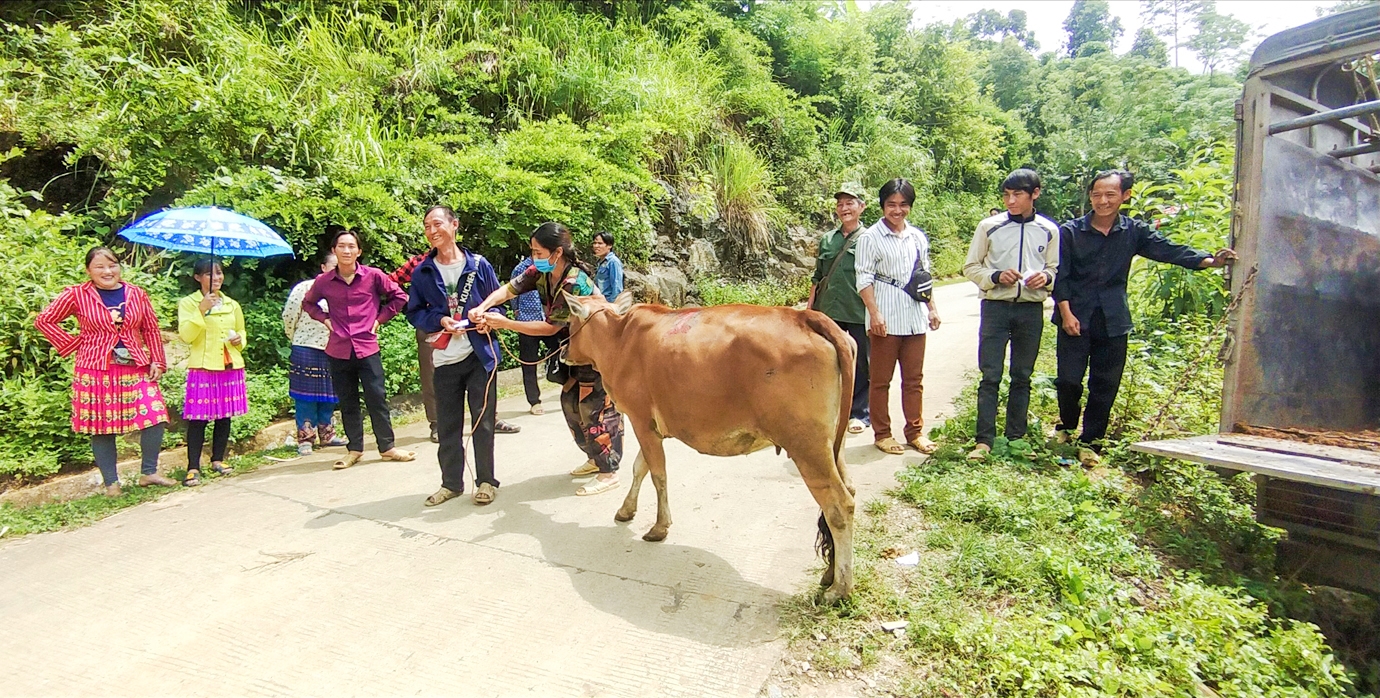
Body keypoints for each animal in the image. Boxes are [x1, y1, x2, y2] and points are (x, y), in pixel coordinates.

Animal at [557, 291, 855, 604]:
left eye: (569, 321)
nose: (563, 349)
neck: (619, 337)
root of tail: (806, 316)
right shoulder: (650, 426)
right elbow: (640, 468)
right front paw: (626, 510)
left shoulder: (641, 420)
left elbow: (657, 474)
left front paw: (659, 527)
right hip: (833, 442)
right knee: (848, 489)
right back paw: (830, 573)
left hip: (806, 444)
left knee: (839, 505)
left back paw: (839, 588)